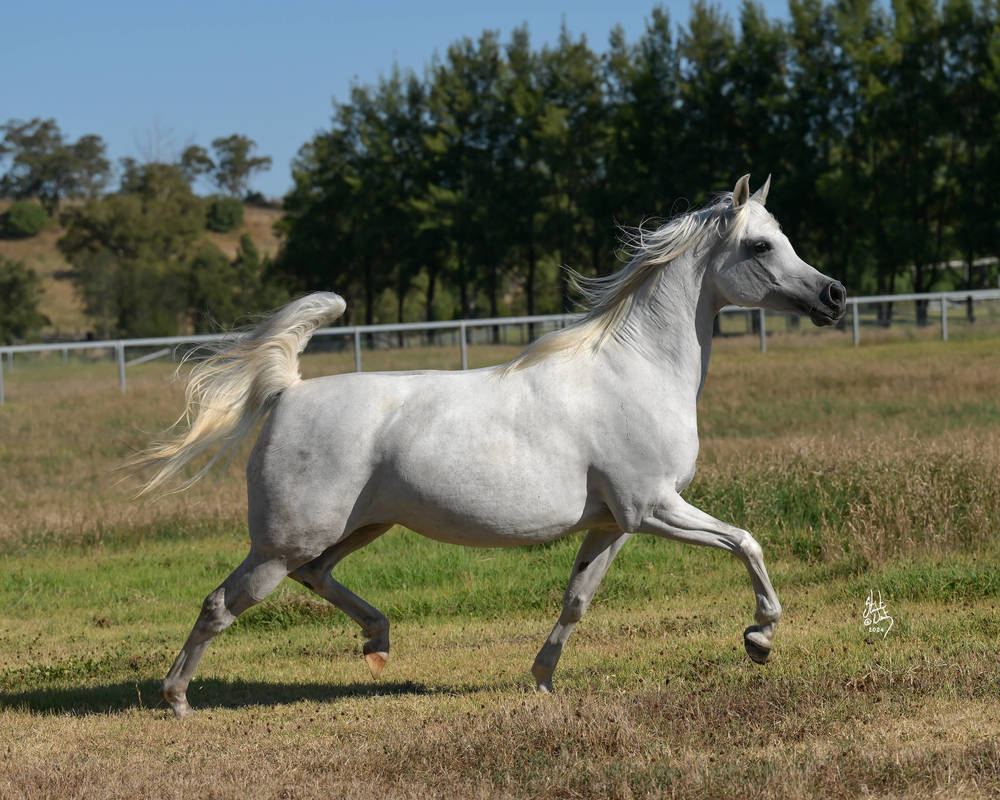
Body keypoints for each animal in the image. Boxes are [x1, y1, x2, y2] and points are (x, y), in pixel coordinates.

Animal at [133, 174, 847, 718]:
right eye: (760, 244)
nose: (834, 295)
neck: (636, 371)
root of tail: (288, 390)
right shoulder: (654, 507)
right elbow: (746, 542)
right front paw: (759, 637)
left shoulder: (614, 523)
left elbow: (577, 599)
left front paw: (542, 678)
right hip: (282, 544)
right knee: (222, 604)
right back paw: (178, 700)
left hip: (357, 528)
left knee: (317, 576)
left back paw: (378, 641)